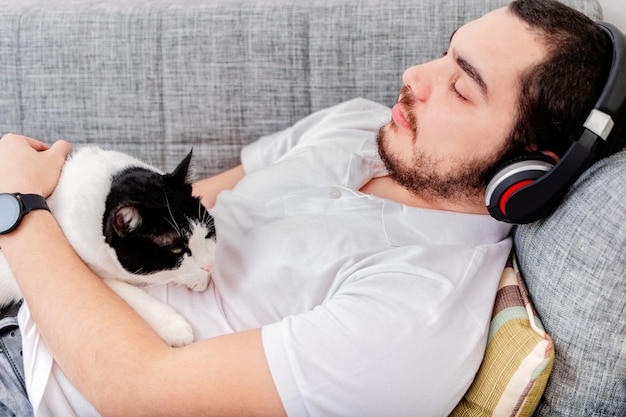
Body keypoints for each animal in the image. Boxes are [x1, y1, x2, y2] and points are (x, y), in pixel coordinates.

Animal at [0, 145, 214, 346]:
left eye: (208, 233)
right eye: (176, 249)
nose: (210, 266)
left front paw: (199, 278)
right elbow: (128, 293)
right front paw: (174, 326)